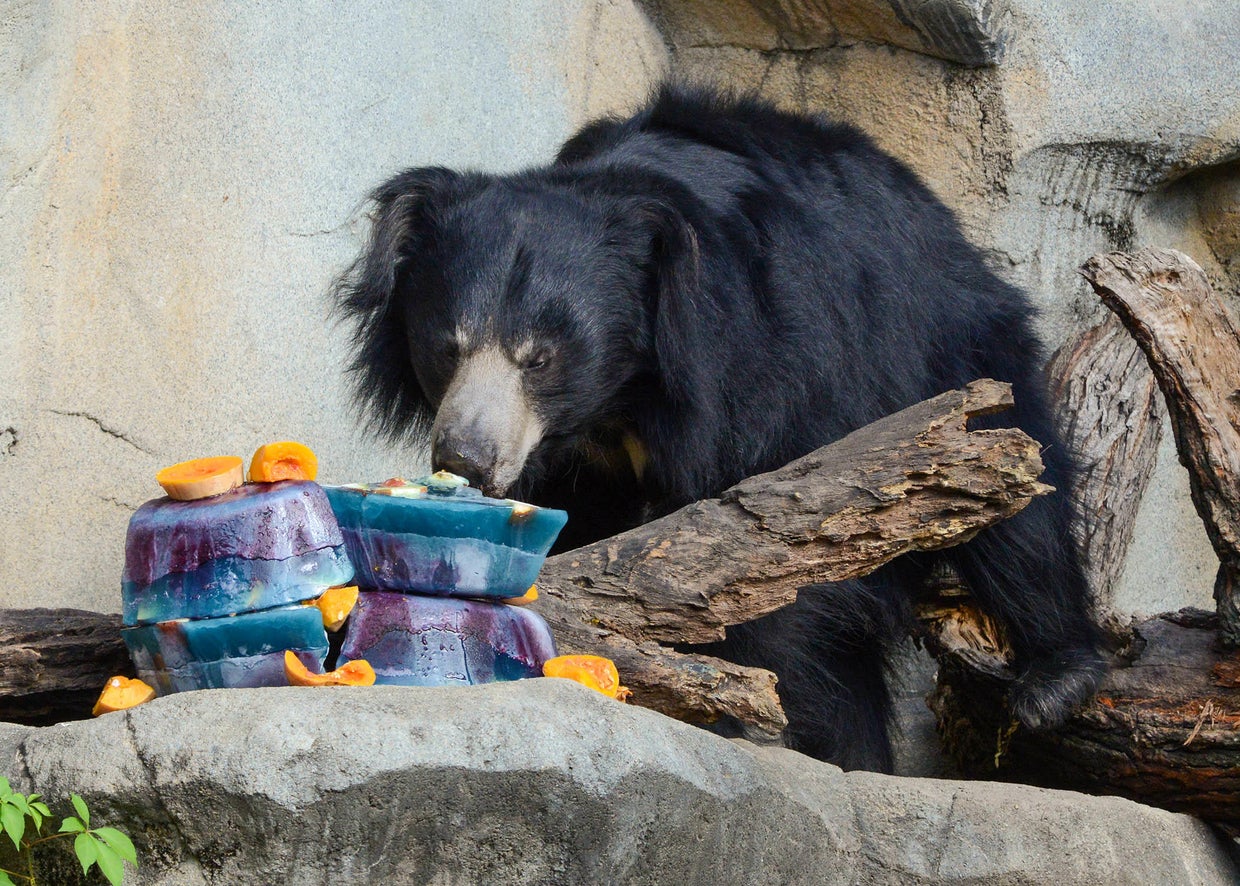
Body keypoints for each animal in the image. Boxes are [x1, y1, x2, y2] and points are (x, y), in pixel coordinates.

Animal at [332, 85, 1105, 772]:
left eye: (540, 357)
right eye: (447, 347)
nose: (466, 458)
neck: (621, 399)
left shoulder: (777, 366)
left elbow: (777, 545)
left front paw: (732, 710)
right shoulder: (580, 459)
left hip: (946, 352)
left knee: (1016, 503)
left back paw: (1050, 678)